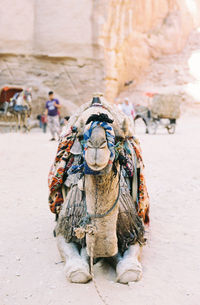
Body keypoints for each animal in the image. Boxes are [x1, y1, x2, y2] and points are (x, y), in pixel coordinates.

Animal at [48, 95, 149, 282]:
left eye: (118, 137)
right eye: (81, 136)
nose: (96, 145)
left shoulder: (133, 226)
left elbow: (129, 270)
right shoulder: (66, 225)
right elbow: (78, 271)